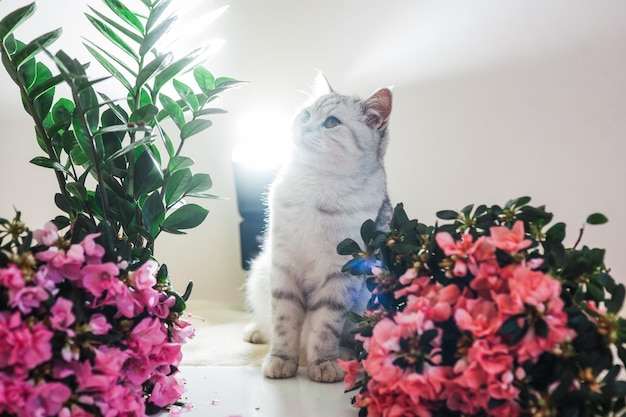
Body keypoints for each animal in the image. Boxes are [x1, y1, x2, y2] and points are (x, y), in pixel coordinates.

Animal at [243, 74, 392, 380]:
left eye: (331, 122)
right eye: (305, 115)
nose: (304, 127)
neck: (316, 184)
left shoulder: (340, 276)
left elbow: (325, 327)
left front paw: (323, 364)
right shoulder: (283, 268)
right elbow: (283, 323)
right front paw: (281, 360)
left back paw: (344, 357)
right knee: (266, 320)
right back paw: (256, 332)